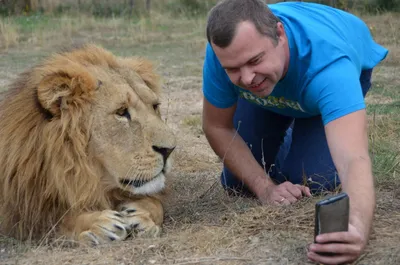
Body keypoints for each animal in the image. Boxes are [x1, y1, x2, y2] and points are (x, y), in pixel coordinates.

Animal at [0, 42, 177, 243]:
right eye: (121, 112)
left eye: (154, 106)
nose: (170, 149)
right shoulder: (20, 212)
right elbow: (55, 221)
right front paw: (99, 223)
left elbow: (156, 203)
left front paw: (143, 215)